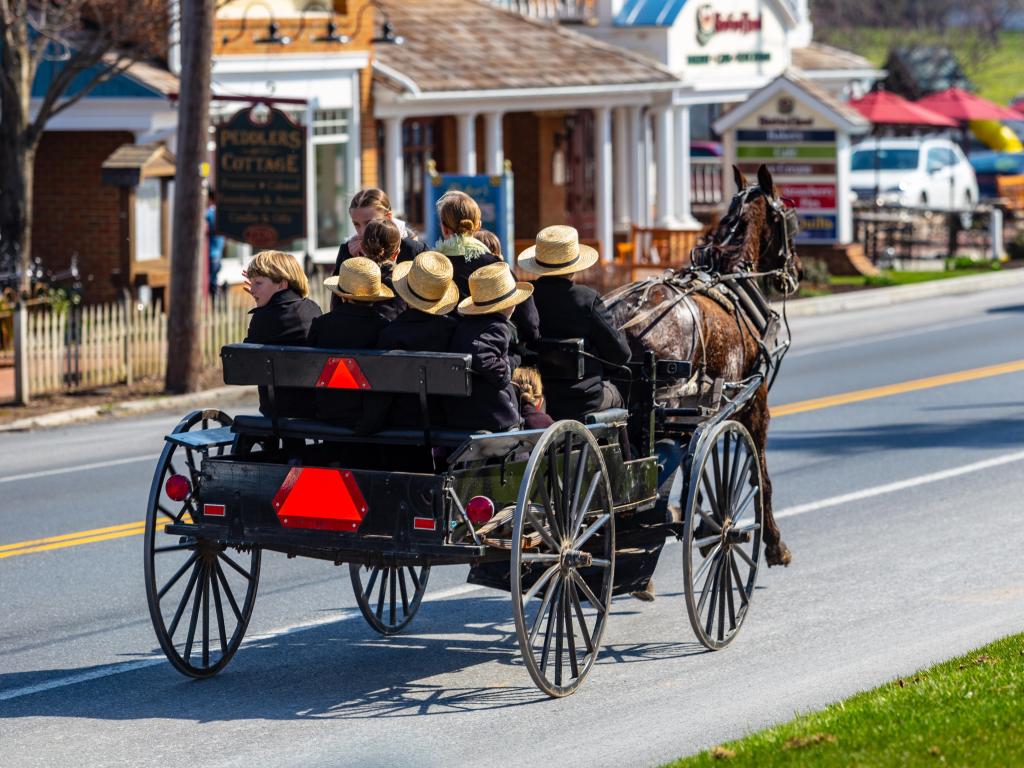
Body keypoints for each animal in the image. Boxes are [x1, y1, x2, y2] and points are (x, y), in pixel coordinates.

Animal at [606, 165, 798, 569]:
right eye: (791, 220)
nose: (796, 272)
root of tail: (621, 320)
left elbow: (689, 469)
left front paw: (694, 518)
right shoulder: (753, 404)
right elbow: (759, 477)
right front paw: (772, 543)